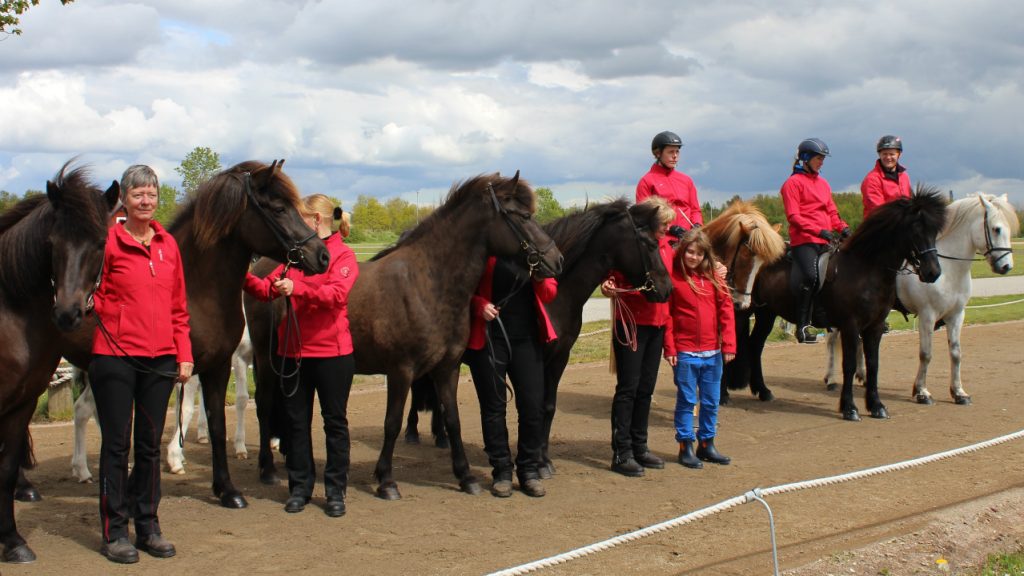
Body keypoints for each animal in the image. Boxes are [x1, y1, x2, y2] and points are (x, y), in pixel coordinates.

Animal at [0, 161, 118, 561]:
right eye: (52, 244)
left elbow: (7, 464)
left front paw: (13, 542)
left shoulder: (22, 399)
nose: (68, 314)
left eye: (101, 243)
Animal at [249, 170, 569, 498]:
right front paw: (386, 481)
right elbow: (392, 423)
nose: (556, 260)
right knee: (264, 405)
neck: (427, 283)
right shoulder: (401, 370)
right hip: (266, 359)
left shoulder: (448, 368)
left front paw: (466, 477)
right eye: (524, 216)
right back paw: (268, 470)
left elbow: (452, 421)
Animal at [733, 190, 946, 420]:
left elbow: (873, 364)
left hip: (767, 313)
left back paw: (763, 391)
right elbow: (849, 365)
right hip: (746, 309)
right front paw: (849, 408)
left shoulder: (875, 326)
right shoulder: (850, 325)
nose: (933, 272)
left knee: (755, 345)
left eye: (935, 230)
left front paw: (876, 405)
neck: (865, 270)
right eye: (916, 228)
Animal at [827, 190, 1019, 401]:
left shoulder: (956, 315)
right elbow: (926, 354)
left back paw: (862, 375)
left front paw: (958, 392)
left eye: (1008, 229)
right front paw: (921, 391)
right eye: (996, 229)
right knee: (832, 341)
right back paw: (830, 379)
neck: (949, 271)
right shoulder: (927, 315)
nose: (1006, 266)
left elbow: (956, 353)